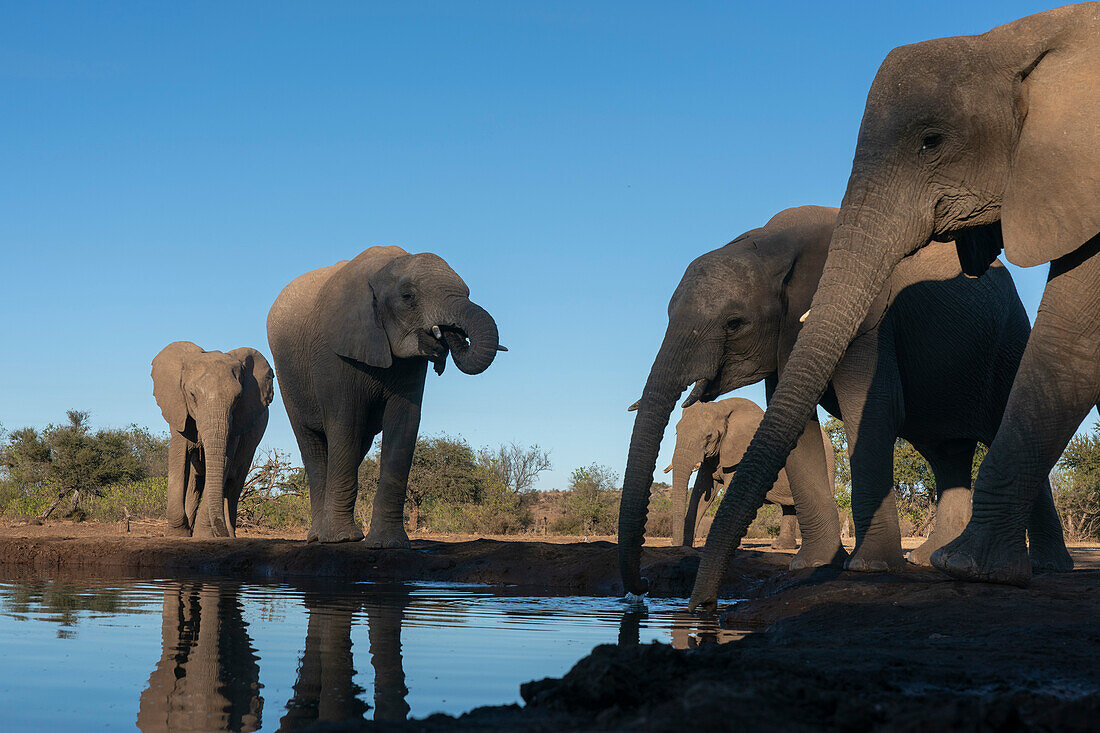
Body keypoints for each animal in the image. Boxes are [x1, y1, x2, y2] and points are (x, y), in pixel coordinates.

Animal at [151, 338, 273, 537]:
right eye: (192, 395)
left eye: (238, 398)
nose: (220, 531)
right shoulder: (178, 410)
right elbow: (178, 460)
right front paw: (178, 535)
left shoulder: (236, 425)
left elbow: (225, 462)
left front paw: (204, 536)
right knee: (195, 483)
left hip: (253, 443)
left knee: (234, 483)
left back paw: (229, 534)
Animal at [268, 245, 503, 541]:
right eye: (408, 296)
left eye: (469, 293)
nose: (445, 340)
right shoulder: (333, 351)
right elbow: (345, 421)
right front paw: (344, 539)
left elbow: (404, 423)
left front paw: (388, 543)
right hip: (287, 376)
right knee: (313, 445)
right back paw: (317, 538)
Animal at [651, 396, 831, 545]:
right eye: (676, 432)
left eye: (709, 436)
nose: (675, 543)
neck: (721, 408)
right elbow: (700, 492)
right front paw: (686, 547)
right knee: (789, 506)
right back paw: (781, 546)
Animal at [686, 2, 1100, 603]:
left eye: (930, 141)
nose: (701, 607)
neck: (1014, 37)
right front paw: (826, 569)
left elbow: (1070, 336)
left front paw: (911, 571)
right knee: (947, 451)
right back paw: (936, 559)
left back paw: (1015, 567)